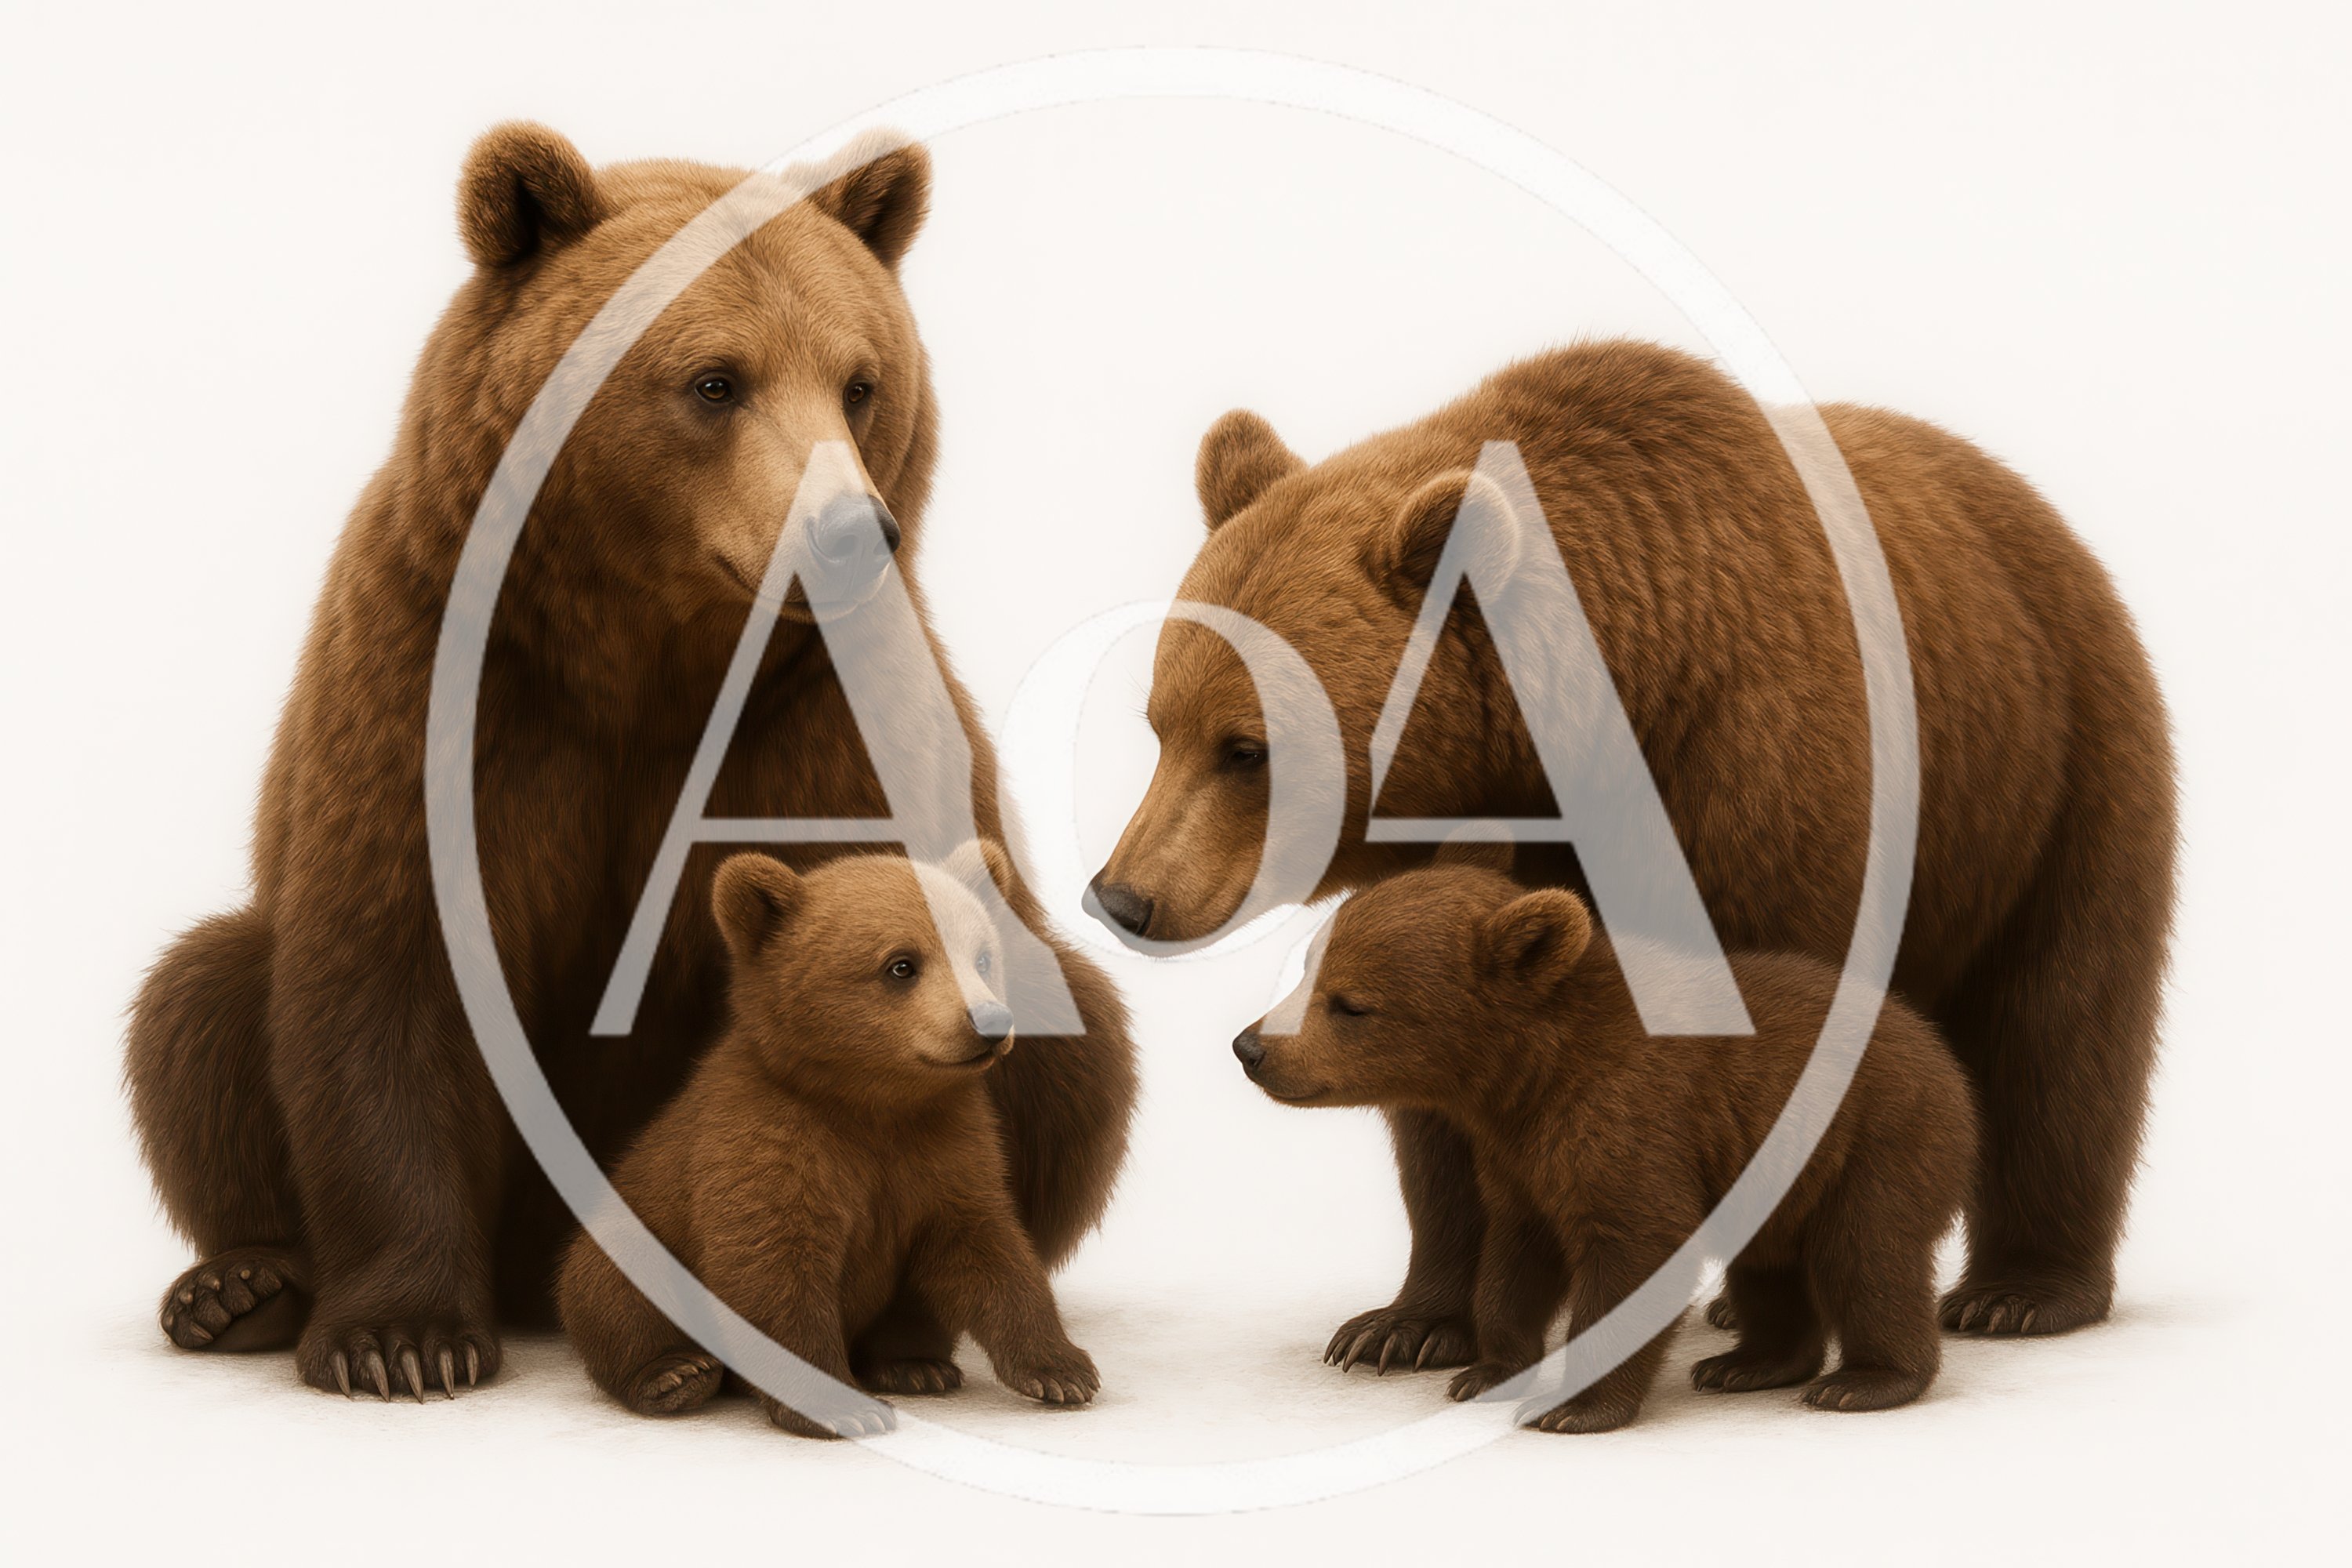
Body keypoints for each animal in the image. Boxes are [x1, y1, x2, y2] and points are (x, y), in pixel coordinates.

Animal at [557, 845, 1099, 1437]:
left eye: (982, 958)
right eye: (901, 964)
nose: (992, 1023)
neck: (871, 1101)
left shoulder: (946, 1145)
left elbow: (988, 1249)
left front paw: (1063, 1370)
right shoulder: (765, 1140)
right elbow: (771, 1265)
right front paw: (844, 1407)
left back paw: (912, 1364)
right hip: (633, 1231)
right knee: (615, 1286)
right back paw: (673, 1373)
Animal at [1093, 339, 2173, 1361]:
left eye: (1247, 747)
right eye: (1158, 722)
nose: (1123, 896)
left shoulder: (1760, 784)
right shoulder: (1462, 848)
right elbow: (1439, 1079)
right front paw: (1408, 1322)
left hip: (2054, 764)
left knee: (2061, 1027)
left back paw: (2019, 1290)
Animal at [1232, 852, 1978, 1431]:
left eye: (1351, 1003)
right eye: (1307, 967)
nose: (1251, 1048)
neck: (1532, 1072)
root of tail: (1945, 1060)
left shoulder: (1627, 1117)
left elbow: (1640, 1245)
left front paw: (1572, 1406)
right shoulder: (1517, 1154)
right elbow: (1517, 1253)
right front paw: (1490, 1369)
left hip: (1879, 1139)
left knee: (1869, 1255)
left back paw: (1864, 1380)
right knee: (1771, 1265)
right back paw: (1747, 1363)